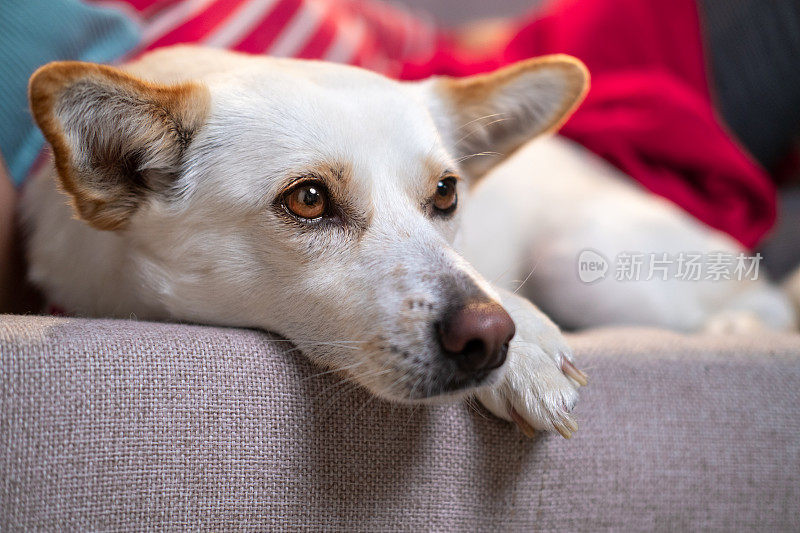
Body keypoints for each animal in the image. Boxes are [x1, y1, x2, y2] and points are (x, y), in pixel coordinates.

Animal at [21, 44, 796, 436]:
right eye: (308, 200)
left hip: (589, 271)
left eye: (447, 193)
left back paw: (734, 326)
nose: (491, 337)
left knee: (764, 301)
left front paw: (529, 347)